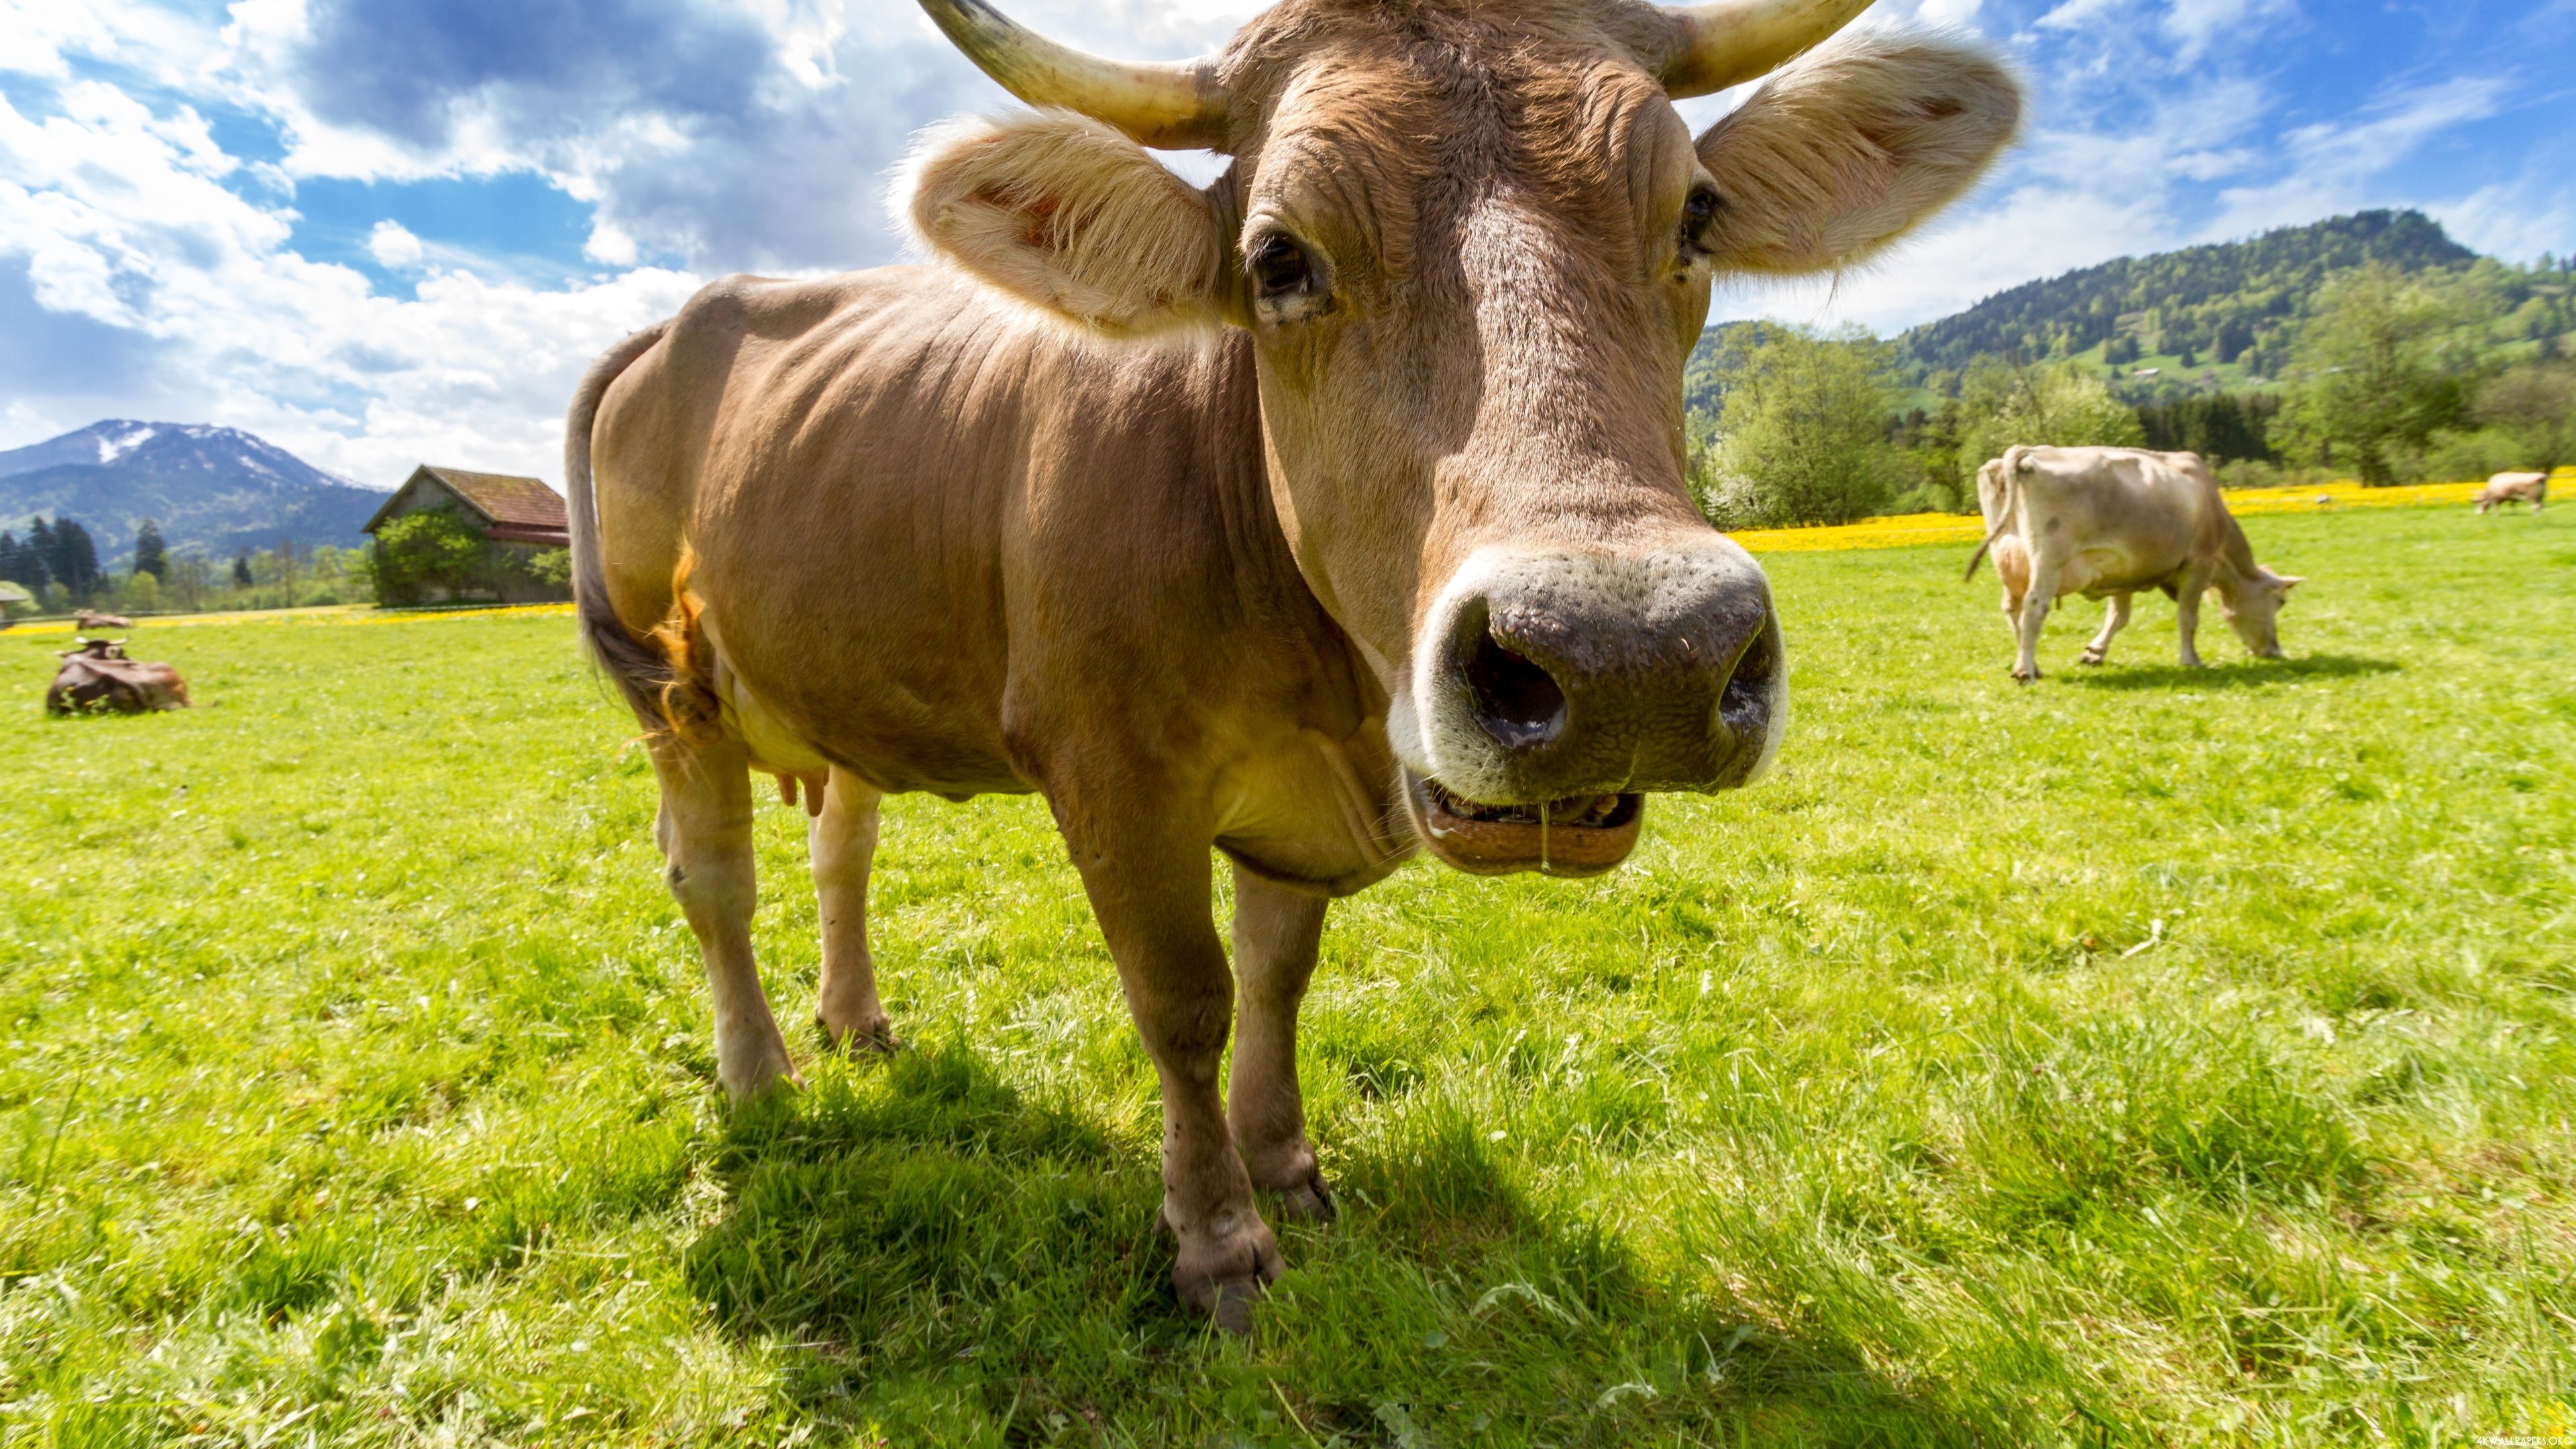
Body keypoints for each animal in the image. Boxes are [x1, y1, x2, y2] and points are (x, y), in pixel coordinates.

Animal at [570, 0, 2019, 1323]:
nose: (1631, 658)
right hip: (675, 691)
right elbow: (1186, 1002)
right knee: (714, 881)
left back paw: (855, 1019)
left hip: (834, 673)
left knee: (842, 847)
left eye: (1697, 219)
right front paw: (1218, 1239)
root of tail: (689, 314)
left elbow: (1277, 977)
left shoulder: (1295, 810)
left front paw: (1287, 1169)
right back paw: (760, 1074)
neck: (1326, 692)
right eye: (1277, 257)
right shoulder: (1111, 775)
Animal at [1967, 446, 2302, 682]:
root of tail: (2027, 451)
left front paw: (2095, 653)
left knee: (2014, 610)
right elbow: (2188, 618)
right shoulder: (2198, 564)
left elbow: (2119, 616)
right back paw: (2026, 671)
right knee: (2035, 607)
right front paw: (2191, 659)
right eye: (2281, 602)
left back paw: (2029, 664)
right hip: (2048, 560)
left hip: (2008, 558)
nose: (2274, 652)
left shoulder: (2122, 570)